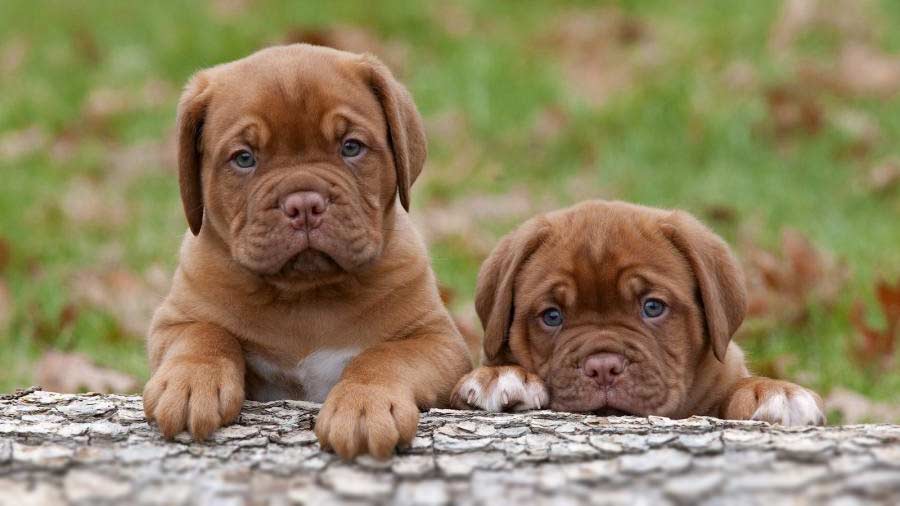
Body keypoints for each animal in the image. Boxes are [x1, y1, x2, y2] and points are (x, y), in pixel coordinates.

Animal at [142, 45, 472, 460]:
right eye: (244, 158)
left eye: (351, 147)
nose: (303, 204)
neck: (307, 293)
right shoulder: (175, 320)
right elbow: (204, 335)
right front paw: (190, 383)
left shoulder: (437, 340)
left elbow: (384, 357)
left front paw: (364, 405)